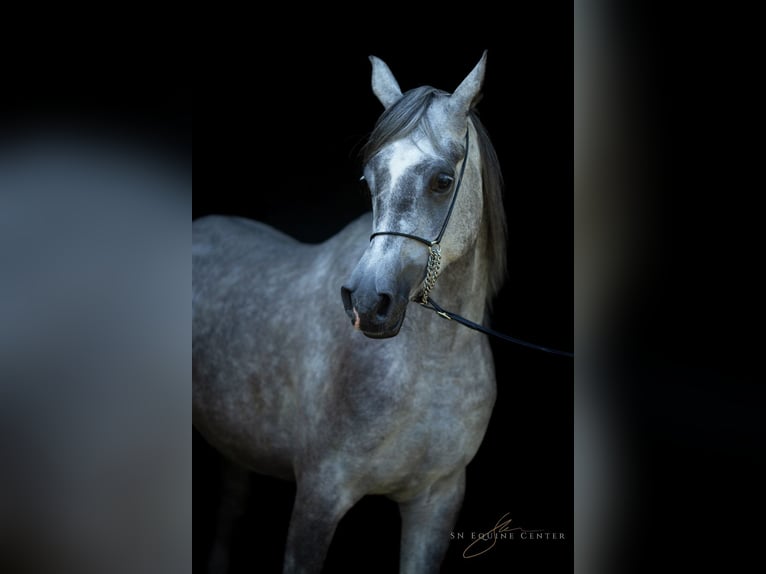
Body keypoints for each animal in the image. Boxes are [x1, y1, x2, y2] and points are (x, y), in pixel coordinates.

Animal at [194, 51, 504, 572]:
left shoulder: (436, 502)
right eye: (369, 177)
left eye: (443, 181)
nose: (366, 303)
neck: (427, 368)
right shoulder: (319, 495)